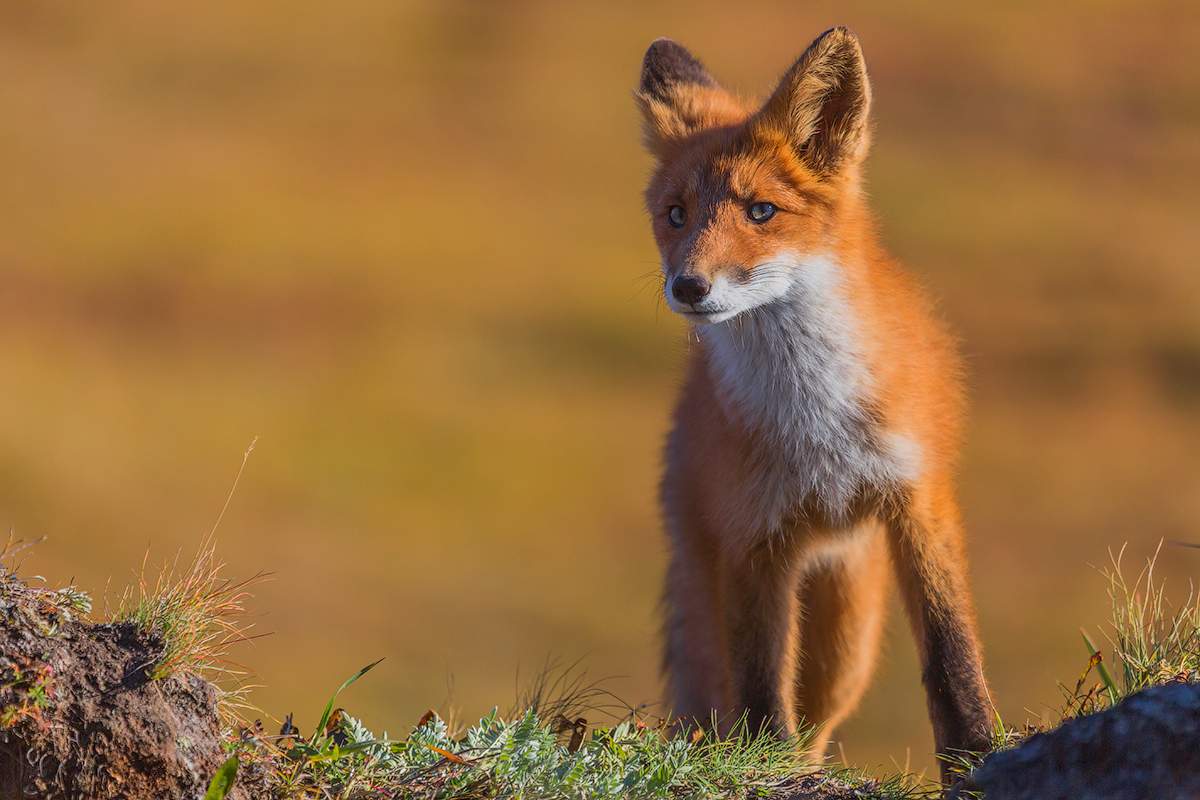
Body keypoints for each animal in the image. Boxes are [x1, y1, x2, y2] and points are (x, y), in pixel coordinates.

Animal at [635, 27, 992, 776]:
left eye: (761, 211)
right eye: (675, 216)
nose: (689, 286)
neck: (815, 419)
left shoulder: (920, 499)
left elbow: (951, 656)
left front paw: (977, 755)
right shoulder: (752, 534)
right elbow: (761, 687)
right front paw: (761, 764)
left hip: (846, 638)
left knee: (819, 720)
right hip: (720, 587)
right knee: (733, 709)